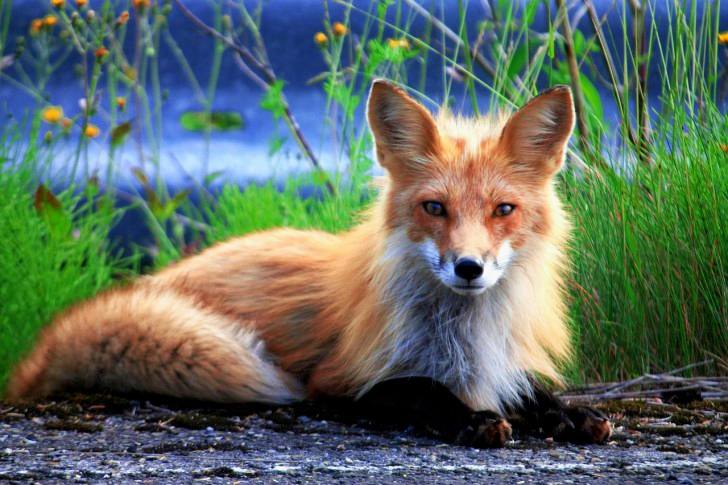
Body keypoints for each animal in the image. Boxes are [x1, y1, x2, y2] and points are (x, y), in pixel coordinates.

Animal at [7, 80, 611, 447]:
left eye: (503, 210)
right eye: (434, 208)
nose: (468, 268)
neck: (461, 333)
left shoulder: (500, 358)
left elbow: (528, 387)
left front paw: (567, 412)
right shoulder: (340, 381)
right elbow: (421, 388)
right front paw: (473, 418)